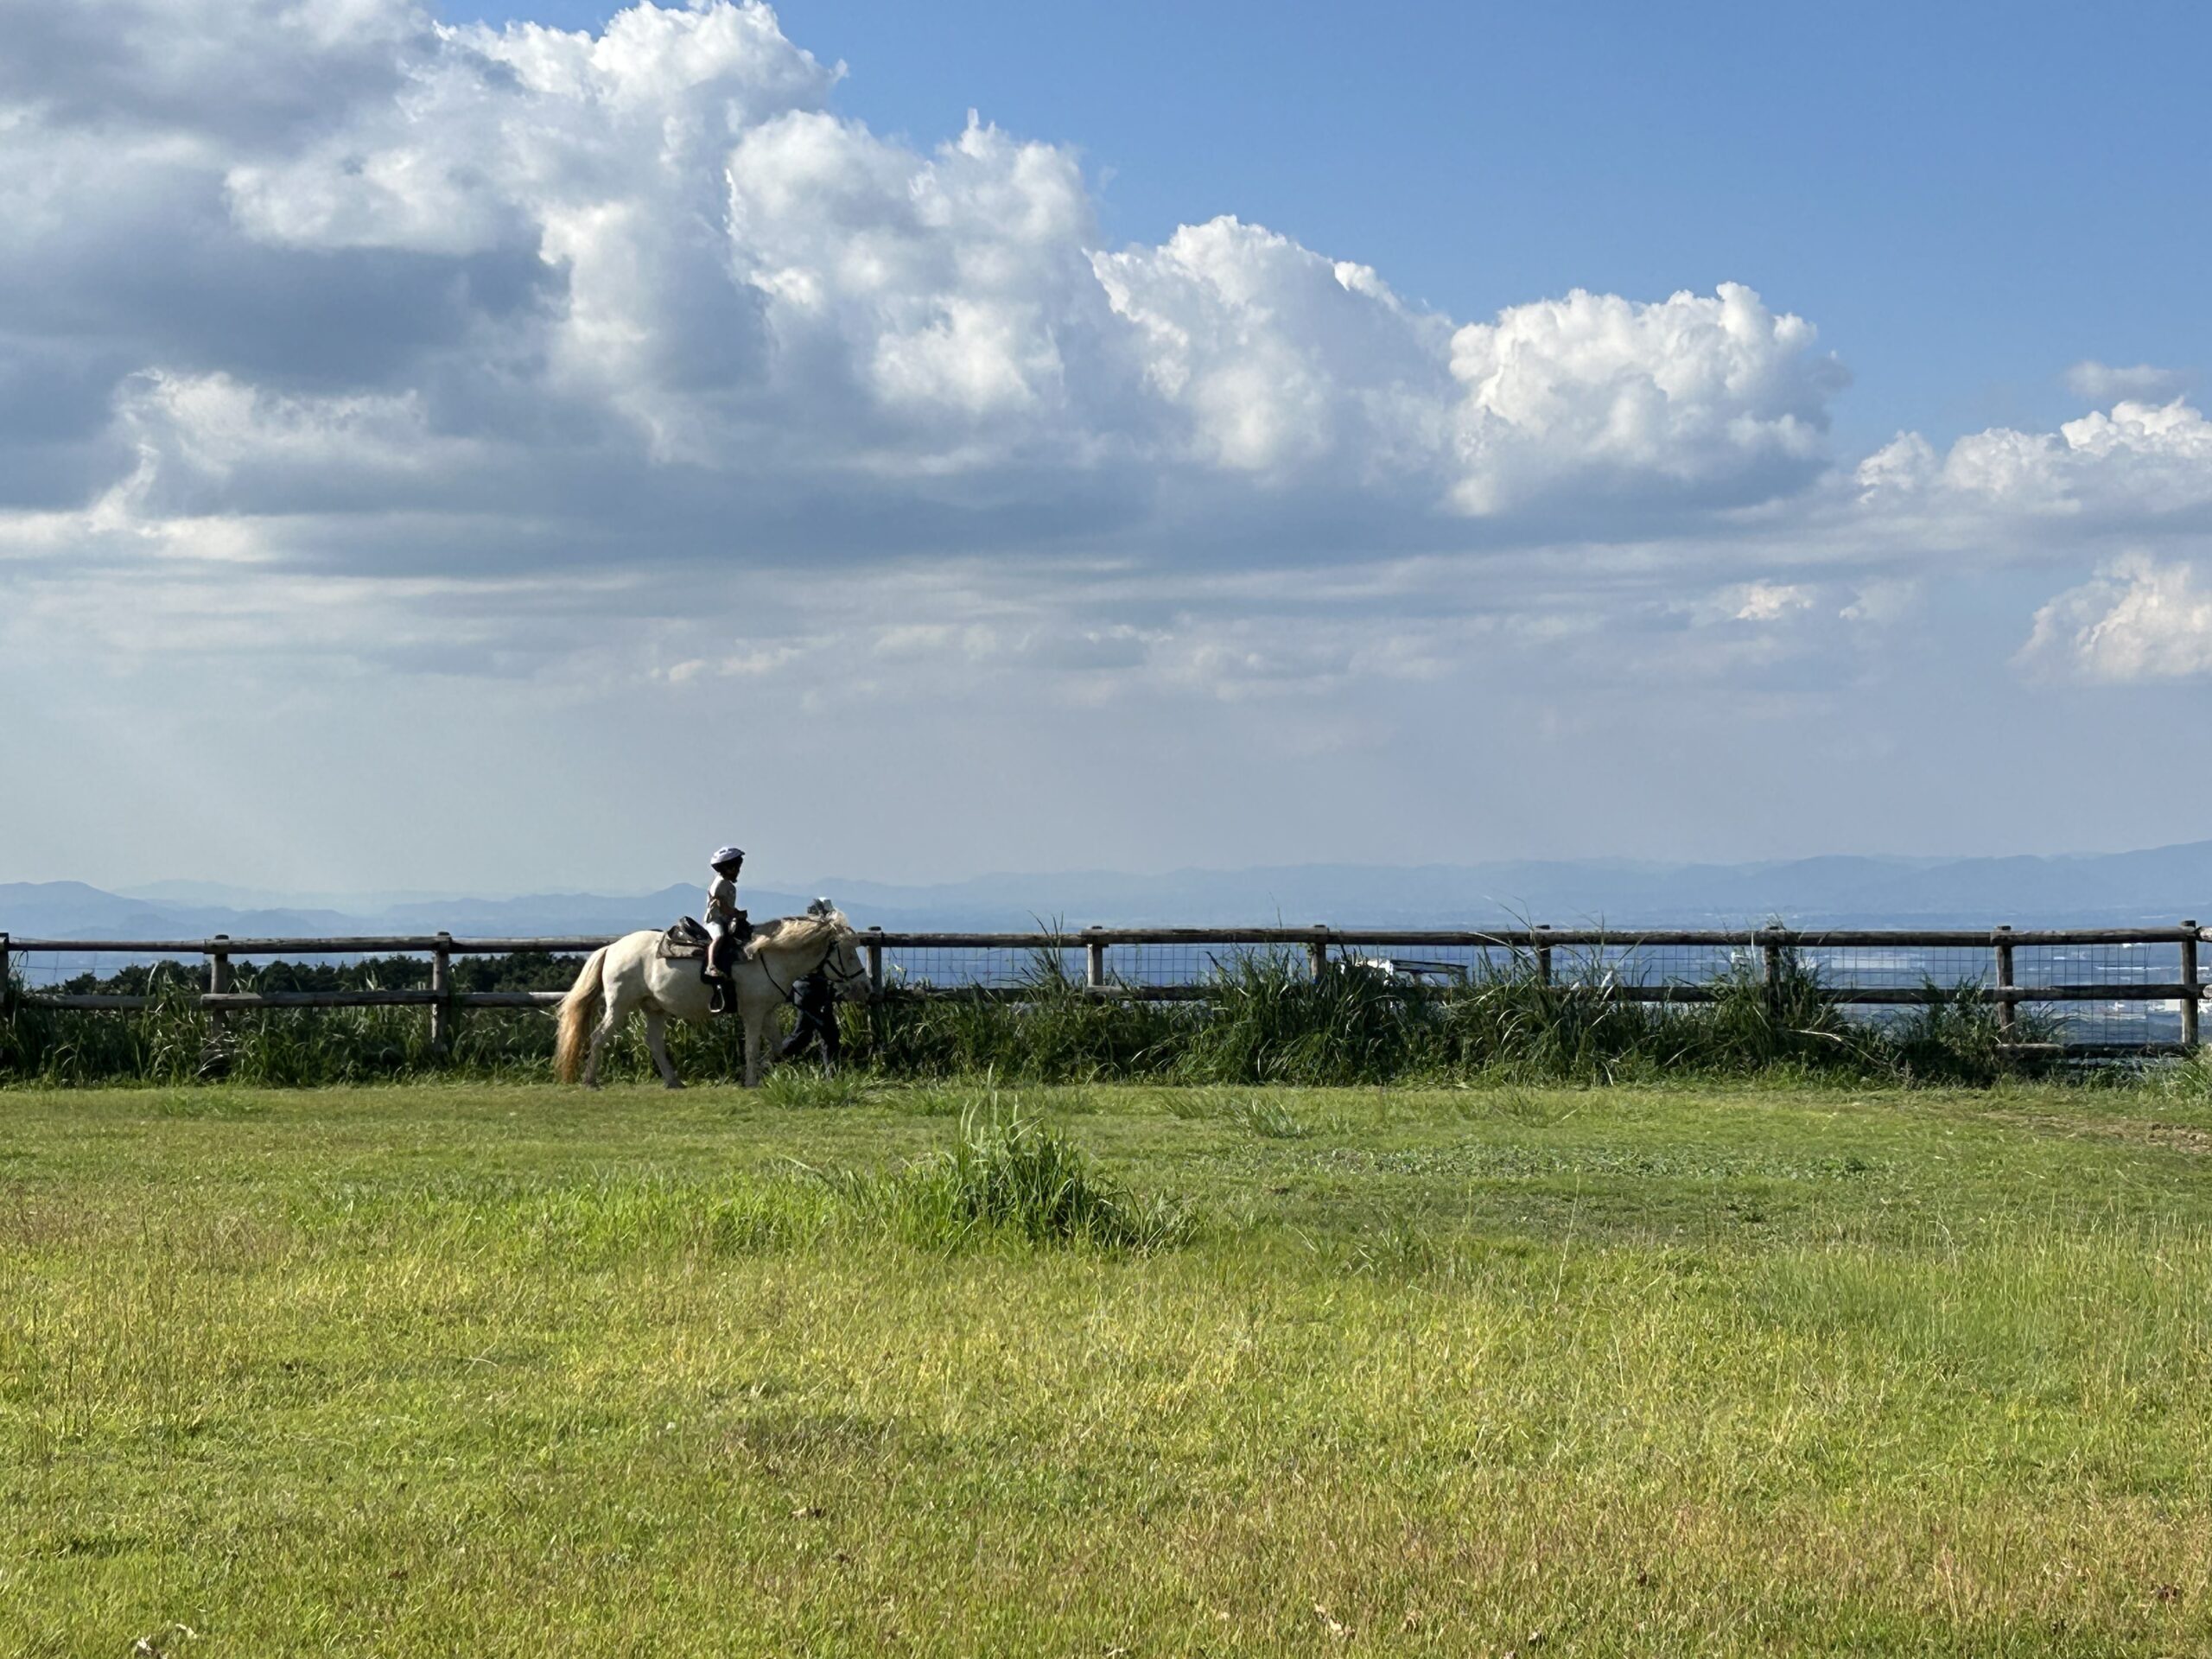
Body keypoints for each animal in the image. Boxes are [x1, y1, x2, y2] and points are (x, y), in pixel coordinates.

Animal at [548, 911, 867, 1092]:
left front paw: (750, 1074)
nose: (862, 987)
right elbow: (752, 1047)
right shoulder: (753, 1013)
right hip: (619, 1006)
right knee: (599, 1037)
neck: (769, 956)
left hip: (654, 1008)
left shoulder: (767, 1013)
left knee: (654, 1043)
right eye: (849, 954)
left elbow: (777, 1047)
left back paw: (674, 1081)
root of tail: (612, 947)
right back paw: (591, 1081)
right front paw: (750, 1080)